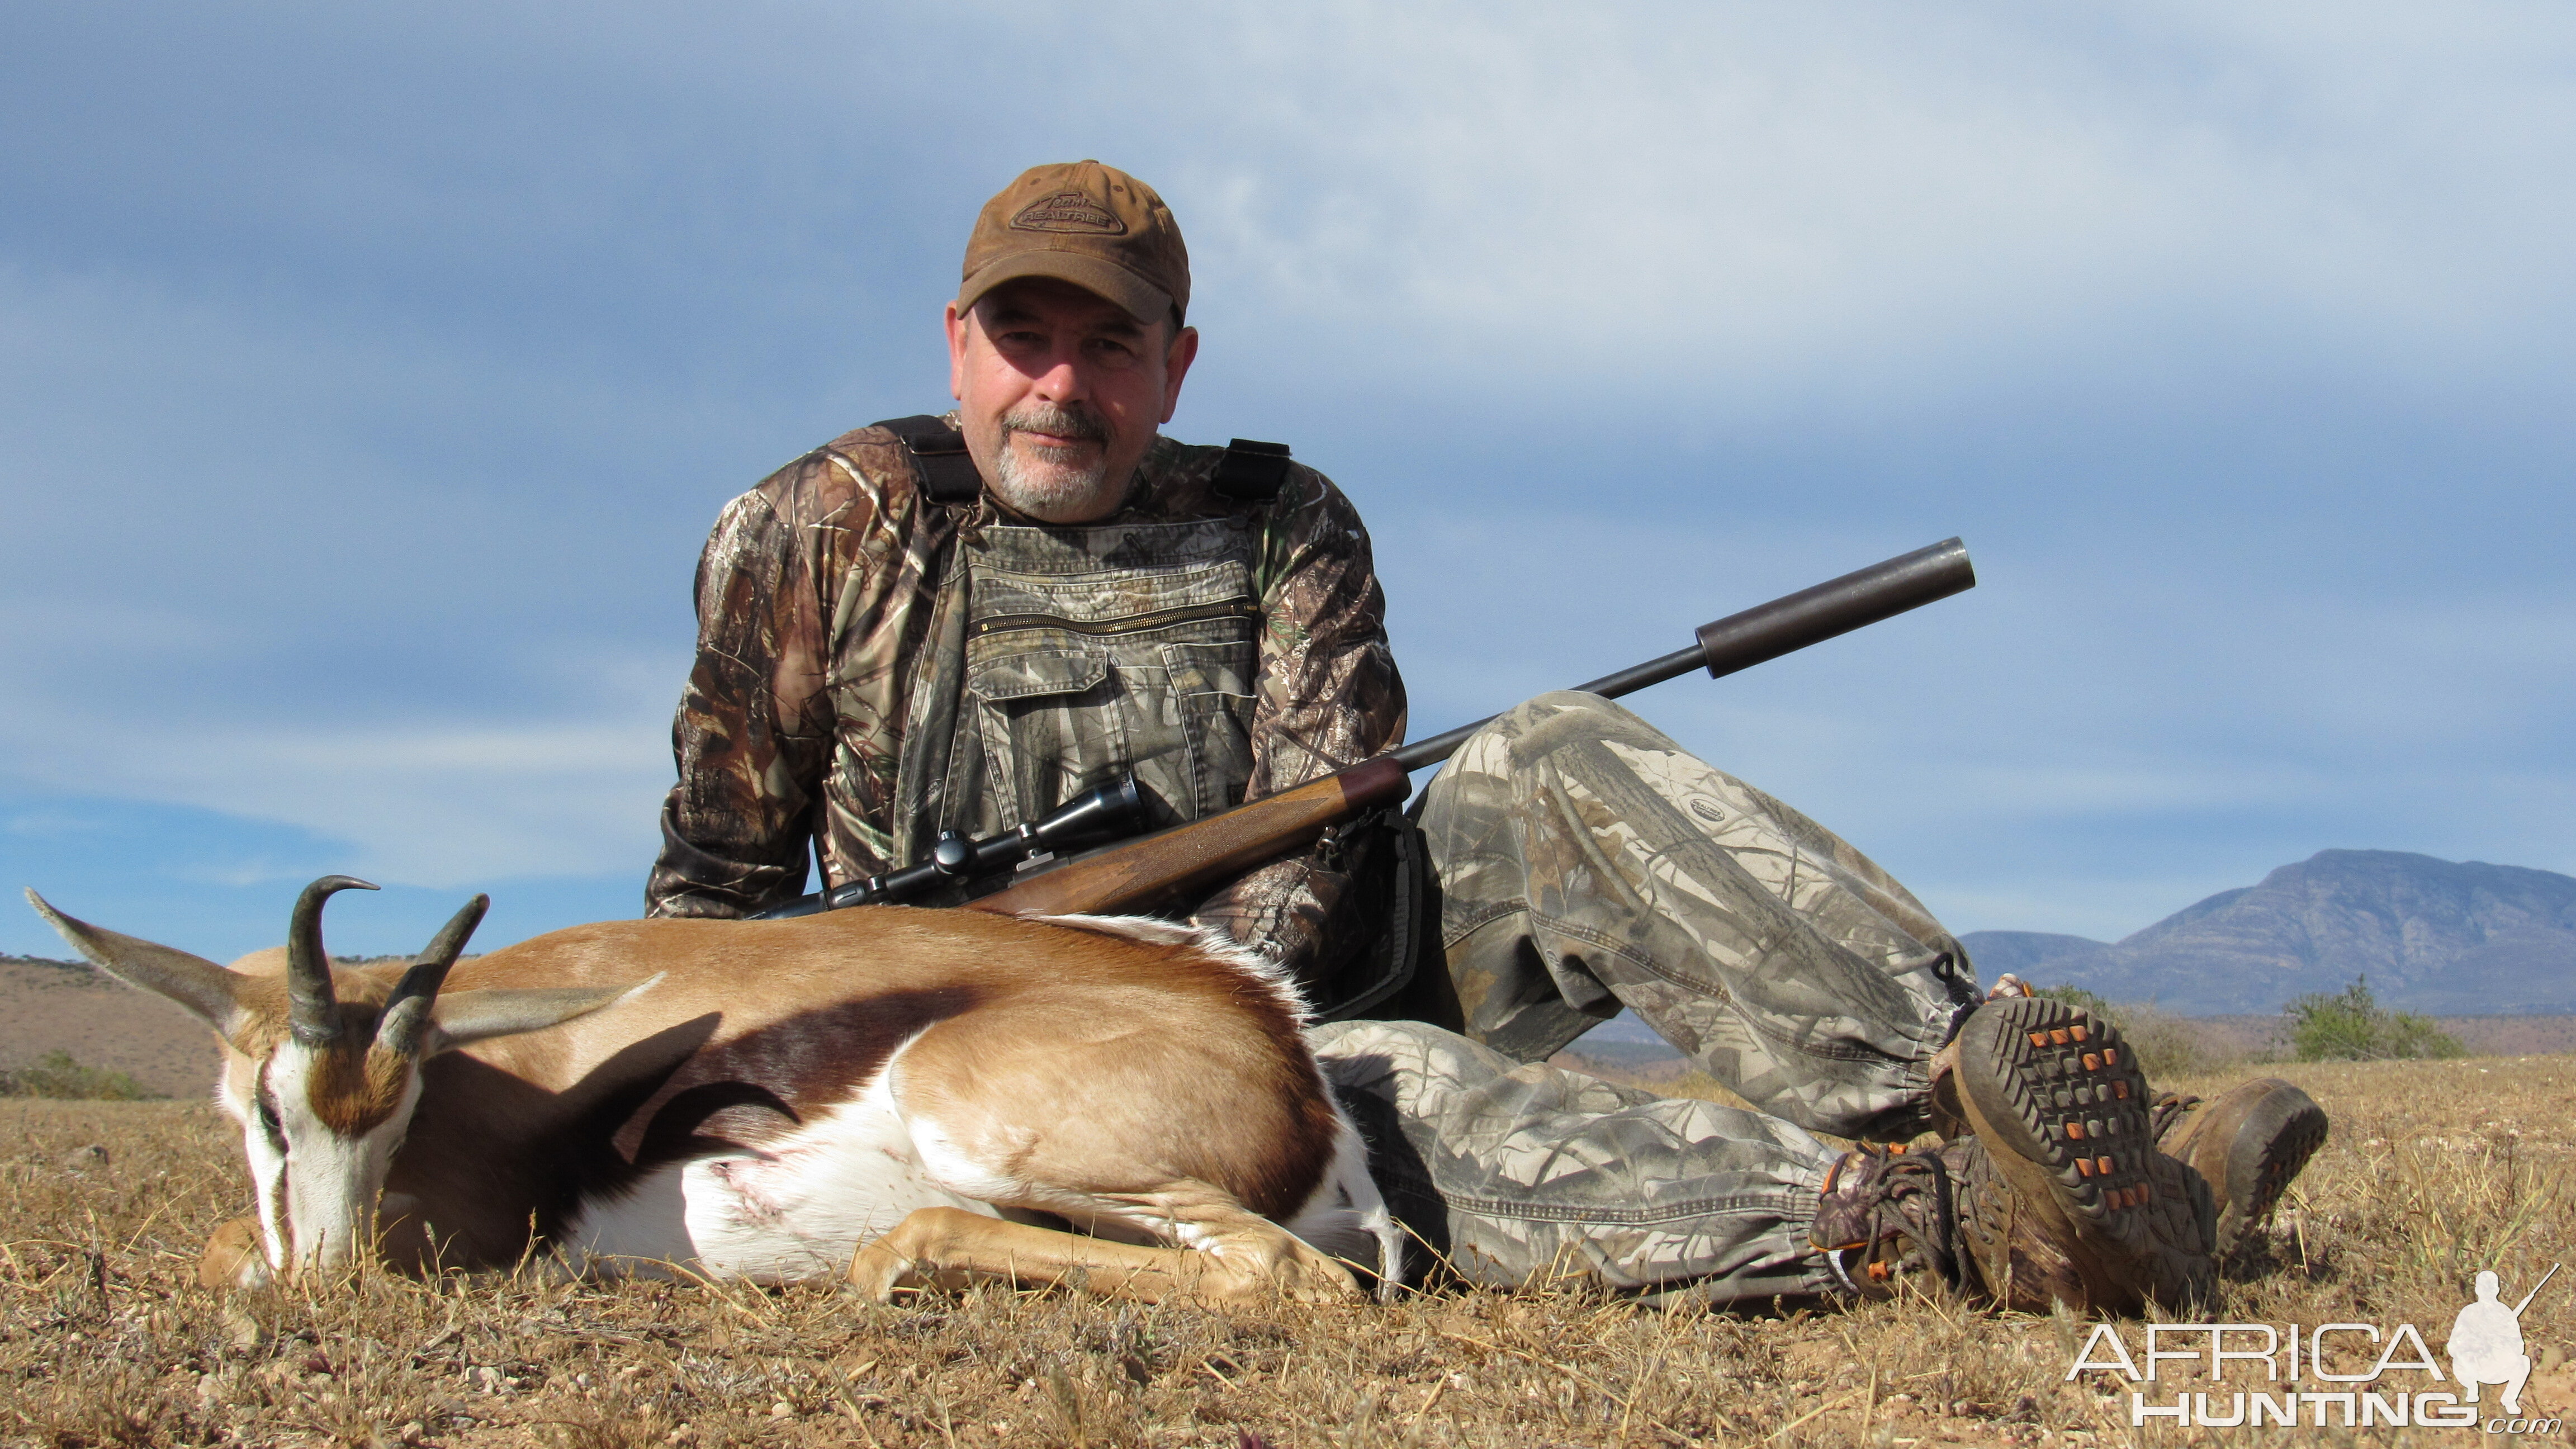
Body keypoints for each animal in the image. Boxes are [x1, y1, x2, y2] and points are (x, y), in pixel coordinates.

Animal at [20, 877, 1401, 1304]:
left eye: (400, 1110)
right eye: (264, 1111)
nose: (330, 1280)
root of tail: (1293, 1060)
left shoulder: (469, 1236)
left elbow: (227, 1251)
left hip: (977, 1125)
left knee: (1283, 1274)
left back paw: (893, 1269)